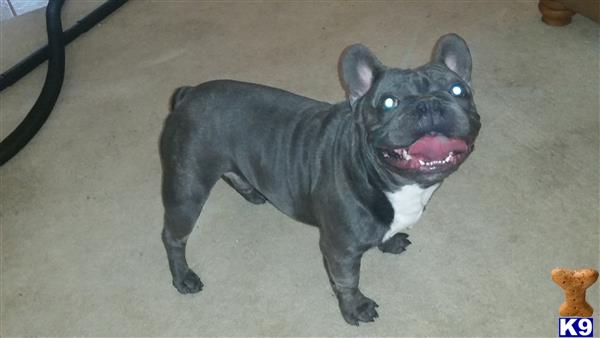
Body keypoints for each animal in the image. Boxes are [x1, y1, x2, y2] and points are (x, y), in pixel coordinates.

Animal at [161, 33, 482, 324]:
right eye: (389, 102)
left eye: (458, 90)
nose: (429, 103)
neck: (381, 177)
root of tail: (189, 94)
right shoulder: (340, 251)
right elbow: (347, 281)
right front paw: (355, 309)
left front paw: (389, 242)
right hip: (187, 190)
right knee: (174, 237)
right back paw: (183, 277)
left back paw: (252, 191)